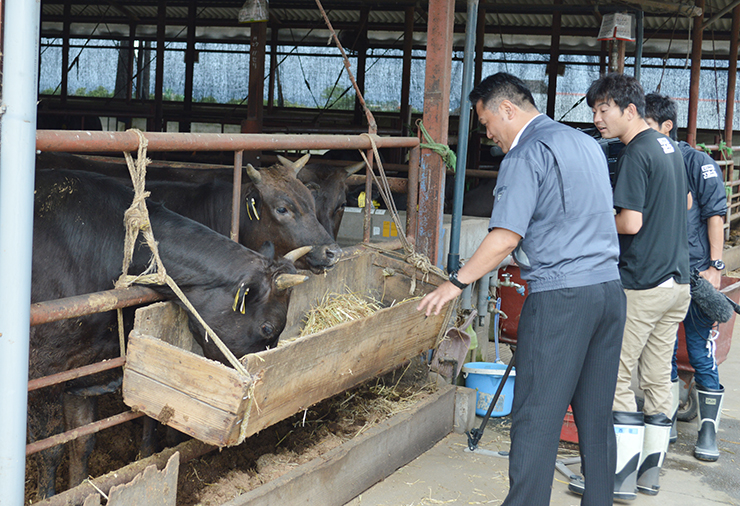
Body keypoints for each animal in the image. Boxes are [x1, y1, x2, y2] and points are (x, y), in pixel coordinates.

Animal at [30, 168, 309, 498]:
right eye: (267, 328)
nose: (256, 405)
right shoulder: (43, 369)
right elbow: (50, 448)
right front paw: (47, 496)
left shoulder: (84, 367)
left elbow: (82, 441)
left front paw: (78, 489)